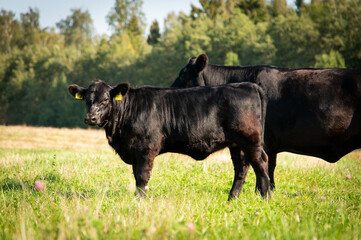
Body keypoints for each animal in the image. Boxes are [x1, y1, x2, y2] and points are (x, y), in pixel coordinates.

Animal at [68, 80, 270, 199]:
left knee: (261, 163)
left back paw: (265, 196)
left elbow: (142, 176)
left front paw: (140, 200)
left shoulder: (146, 149)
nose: (90, 118)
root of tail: (248, 85)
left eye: (105, 100)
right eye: (87, 100)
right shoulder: (135, 152)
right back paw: (232, 198)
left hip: (250, 140)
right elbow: (136, 176)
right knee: (242, 168)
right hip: (236, 144)